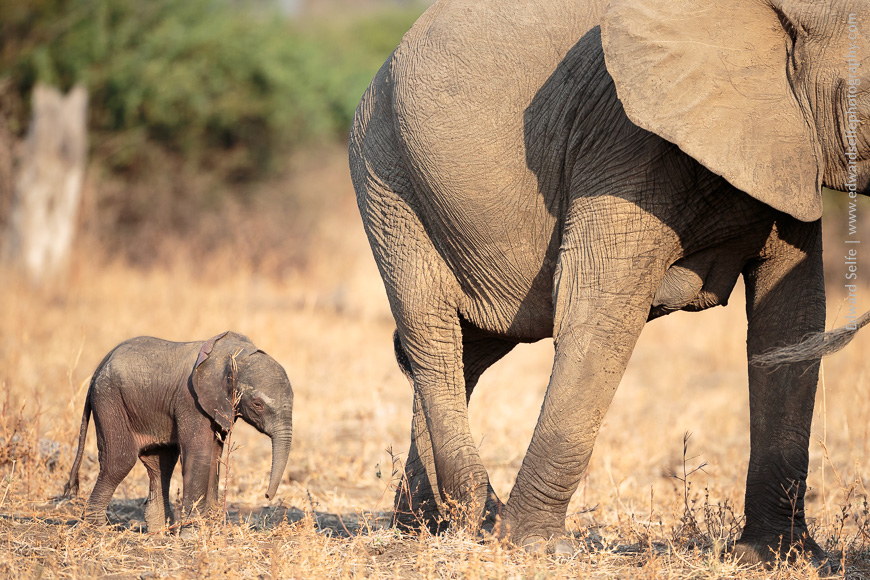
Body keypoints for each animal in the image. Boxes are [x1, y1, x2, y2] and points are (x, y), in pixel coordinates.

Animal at [61, 331, 294, 532]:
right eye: (257, 404)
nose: (267, 496)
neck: (234, 354)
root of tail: (100, 366)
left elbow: (214, 456)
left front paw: (207, 530)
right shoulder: (191, 400)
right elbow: (199, 455)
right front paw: (191, 535)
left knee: (160, 464)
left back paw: (159, 532)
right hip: (109, 399)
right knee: (119, 461)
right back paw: (97, 531)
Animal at [349, 0, 869, 566]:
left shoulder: (788, 150)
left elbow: (793, 319)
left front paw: (781, 557)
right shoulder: (625, 141)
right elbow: (600, 310)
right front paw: (538, 548)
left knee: (474, 346)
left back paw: (427, 523)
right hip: (384, 174)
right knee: (433, 336)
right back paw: (476, 516)